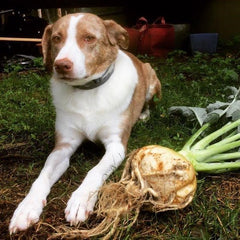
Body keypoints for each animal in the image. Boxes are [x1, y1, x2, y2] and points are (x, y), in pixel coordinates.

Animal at [9, 12, 161, 232]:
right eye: (56, 38)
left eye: (89, 38)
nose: (61, 65)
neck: (87, 90)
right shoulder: (63, 146)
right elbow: (42, 176)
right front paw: (27, 207)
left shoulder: (116, 146)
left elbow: (95, 171)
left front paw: (80, 200)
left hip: (152, 80)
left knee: (149, 102)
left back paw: (143, 115)